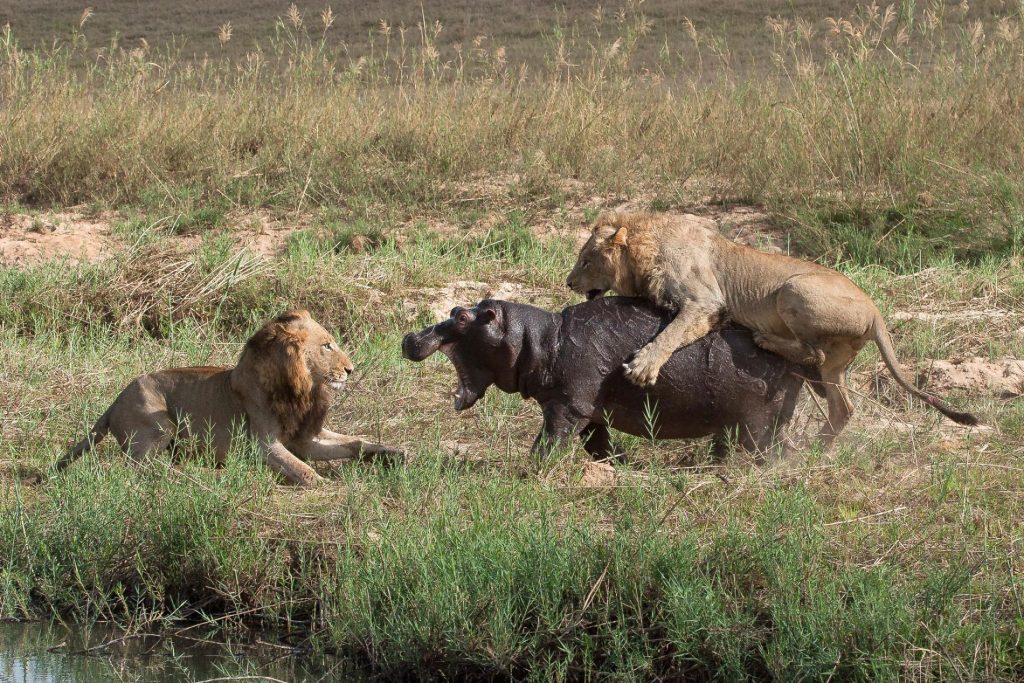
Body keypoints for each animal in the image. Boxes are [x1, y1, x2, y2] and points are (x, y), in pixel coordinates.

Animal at [54, 309, 399, 485]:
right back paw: (195, 473)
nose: (351, 369)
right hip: (158, 421)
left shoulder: (304, 437)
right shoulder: (263, 444)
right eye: (327, 346)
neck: (303, 389)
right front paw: (326, 485)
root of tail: (114, 402)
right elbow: (304, 470)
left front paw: (391, 452)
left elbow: (353, 442)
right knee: (138, 468)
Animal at [565, 210, 978, 444]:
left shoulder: (706, 303)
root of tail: (876, 310)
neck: (645, 245)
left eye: (586, 260)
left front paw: (644, 366)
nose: (568, 283)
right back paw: (817, 449)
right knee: (842, 406)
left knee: (813, 351)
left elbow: (671, 333)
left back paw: (765, 339)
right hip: (836, 364)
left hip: (794, 288)